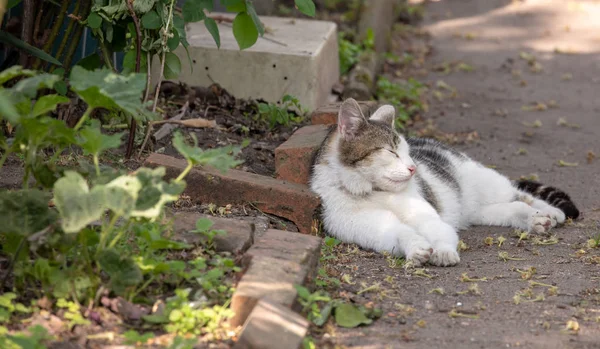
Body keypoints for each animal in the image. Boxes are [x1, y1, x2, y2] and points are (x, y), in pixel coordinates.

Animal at [308, 98, 580, 266]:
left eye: (407, 152)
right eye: (391, 152)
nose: (413, 168)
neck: (373, 192)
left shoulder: (426, 216)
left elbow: (439, 232)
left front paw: (443, 251)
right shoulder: (374, 230)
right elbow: (400, 233)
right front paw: (416, 249)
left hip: (486, 182)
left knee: (521, 194)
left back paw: (548, 213)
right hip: (475, 210)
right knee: (511, 207)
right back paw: (533, 219)